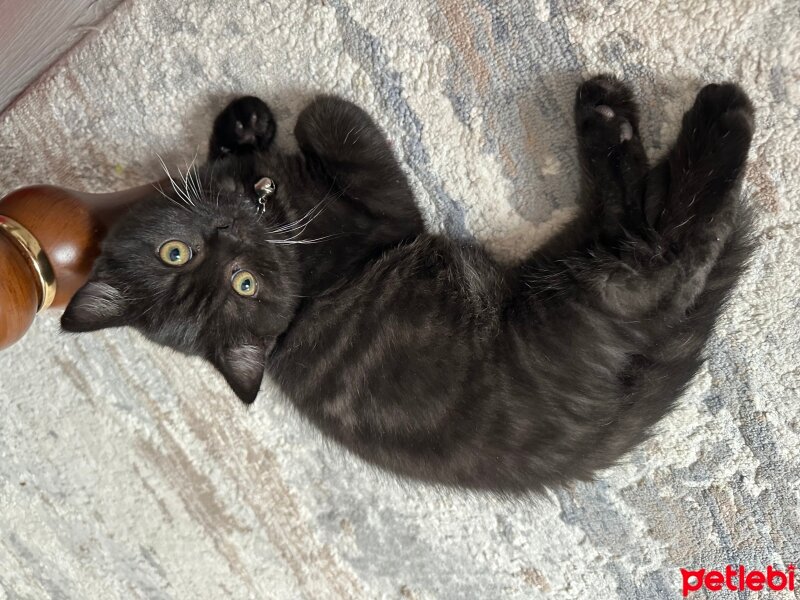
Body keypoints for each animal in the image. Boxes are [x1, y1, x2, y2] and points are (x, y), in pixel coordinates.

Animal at [62, 77, 756, 492]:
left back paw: (618, 123)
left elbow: (262, 138)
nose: (232, 235)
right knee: (668, 252)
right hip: (595, 291)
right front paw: (265, 133)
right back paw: (702, 117)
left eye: (174, 254)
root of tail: (603, 431)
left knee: (628, 214)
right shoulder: (389, 216)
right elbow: (324, 115)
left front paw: (242, 124)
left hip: (574, 253)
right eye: (245, 284)